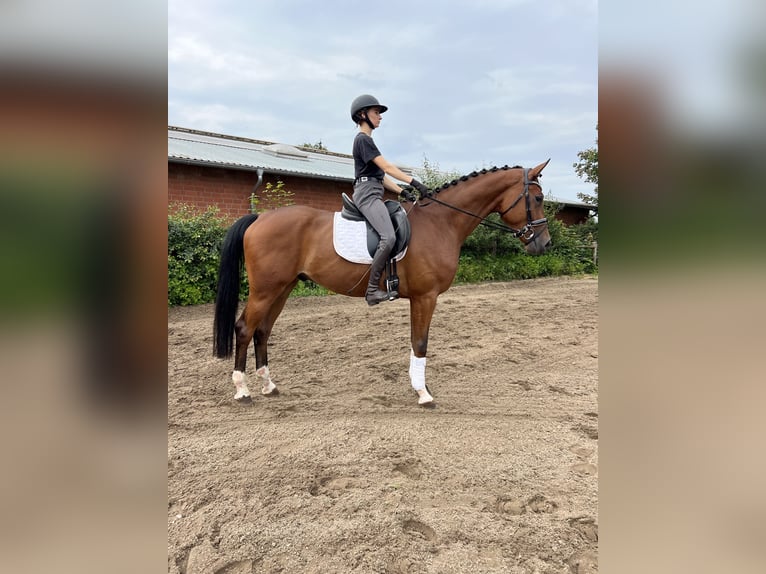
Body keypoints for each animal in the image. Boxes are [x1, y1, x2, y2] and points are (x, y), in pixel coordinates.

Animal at [213, 160, 556, 408]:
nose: (543, 244)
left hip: (282, 289)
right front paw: (424, 394)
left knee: (262, 331)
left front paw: (420, 387)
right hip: (266, 290)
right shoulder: (426, 296)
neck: (440, 222)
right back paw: (243, 391)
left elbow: (416, 342)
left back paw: (269, 385)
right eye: (538, 198)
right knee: (244, 328)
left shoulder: (420, 298)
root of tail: (259, 218)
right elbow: (420, 342)